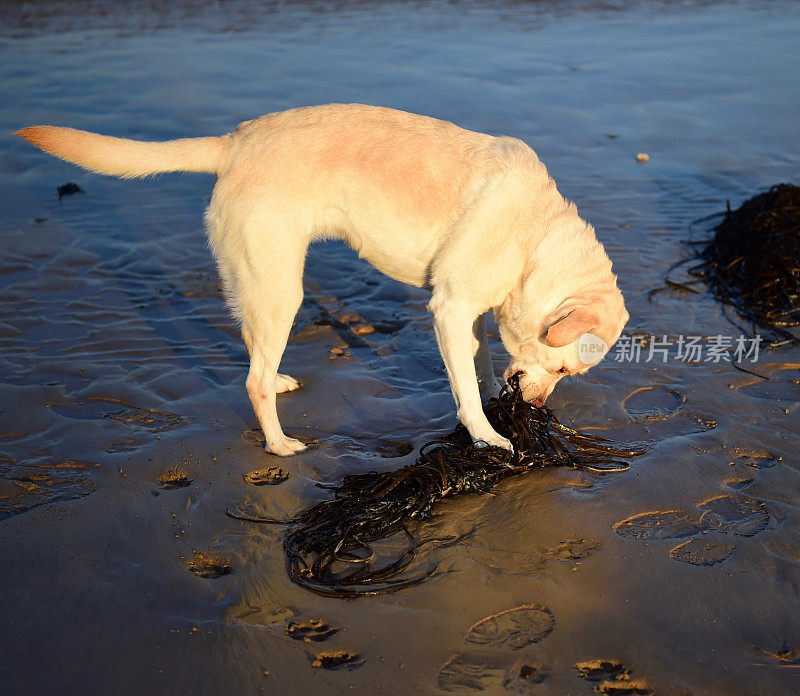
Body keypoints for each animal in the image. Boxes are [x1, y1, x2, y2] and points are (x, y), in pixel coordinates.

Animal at [15, 100, 628, 454]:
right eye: (561, 368)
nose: (536, 408)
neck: (534, 240)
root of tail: (237, 140)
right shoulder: (451, 308)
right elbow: (468, 392)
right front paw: (487, 434)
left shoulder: (468, 314)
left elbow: (474, 367)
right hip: (282, 285)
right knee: (253, 380)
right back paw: (280, 445)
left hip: (259, 281)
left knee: (254, 347)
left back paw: (279, 384)